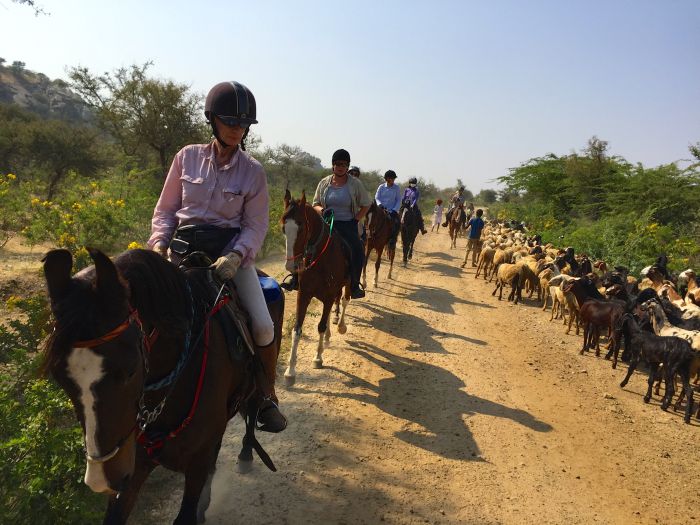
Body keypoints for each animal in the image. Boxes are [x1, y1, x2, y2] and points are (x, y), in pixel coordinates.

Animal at [42, 249, 284, 524]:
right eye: (59, 377)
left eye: (131, 369)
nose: (101, 478)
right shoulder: (135, 463)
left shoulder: (196, 462)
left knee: (253, 408)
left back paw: (248, 450)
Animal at [282, 189, 352, 384]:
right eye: (283, 229)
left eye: (301, 227)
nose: (291, 266)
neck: (321, 257)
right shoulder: (304, 294)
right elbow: (297, 329)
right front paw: (290, 372)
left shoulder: (328, 295)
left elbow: (320, 325)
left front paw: (318, 358)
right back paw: (327, 337)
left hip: (347, 285)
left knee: (344, 301)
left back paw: (340, 326)